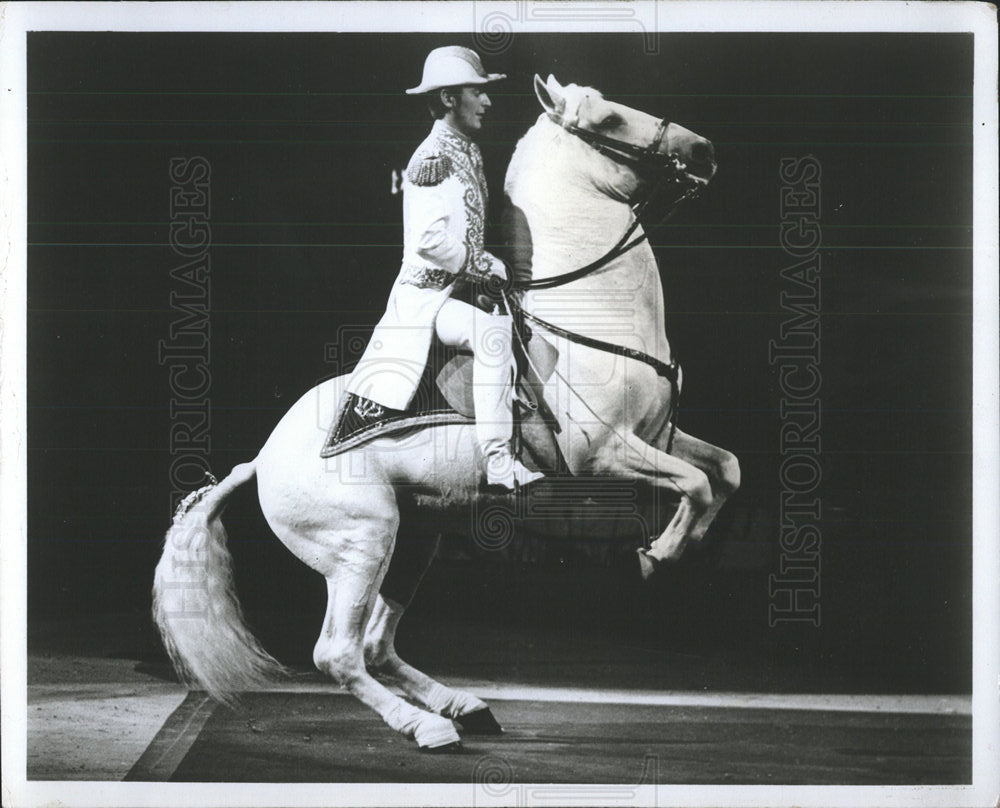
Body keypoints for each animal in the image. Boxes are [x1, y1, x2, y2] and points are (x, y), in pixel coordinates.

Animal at [152, 74, 740, 752]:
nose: (703, 151)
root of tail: (262, 460)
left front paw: (680, 545)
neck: (591, 315)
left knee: (376, 646)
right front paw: (658, 556)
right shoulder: (603, 454)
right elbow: (697, 483)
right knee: (339, 654)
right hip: (361, 543)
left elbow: (724, 470)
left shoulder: (657, 436)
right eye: (611, 119)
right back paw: (426, 726)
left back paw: (463, 706)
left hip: (415, 539)